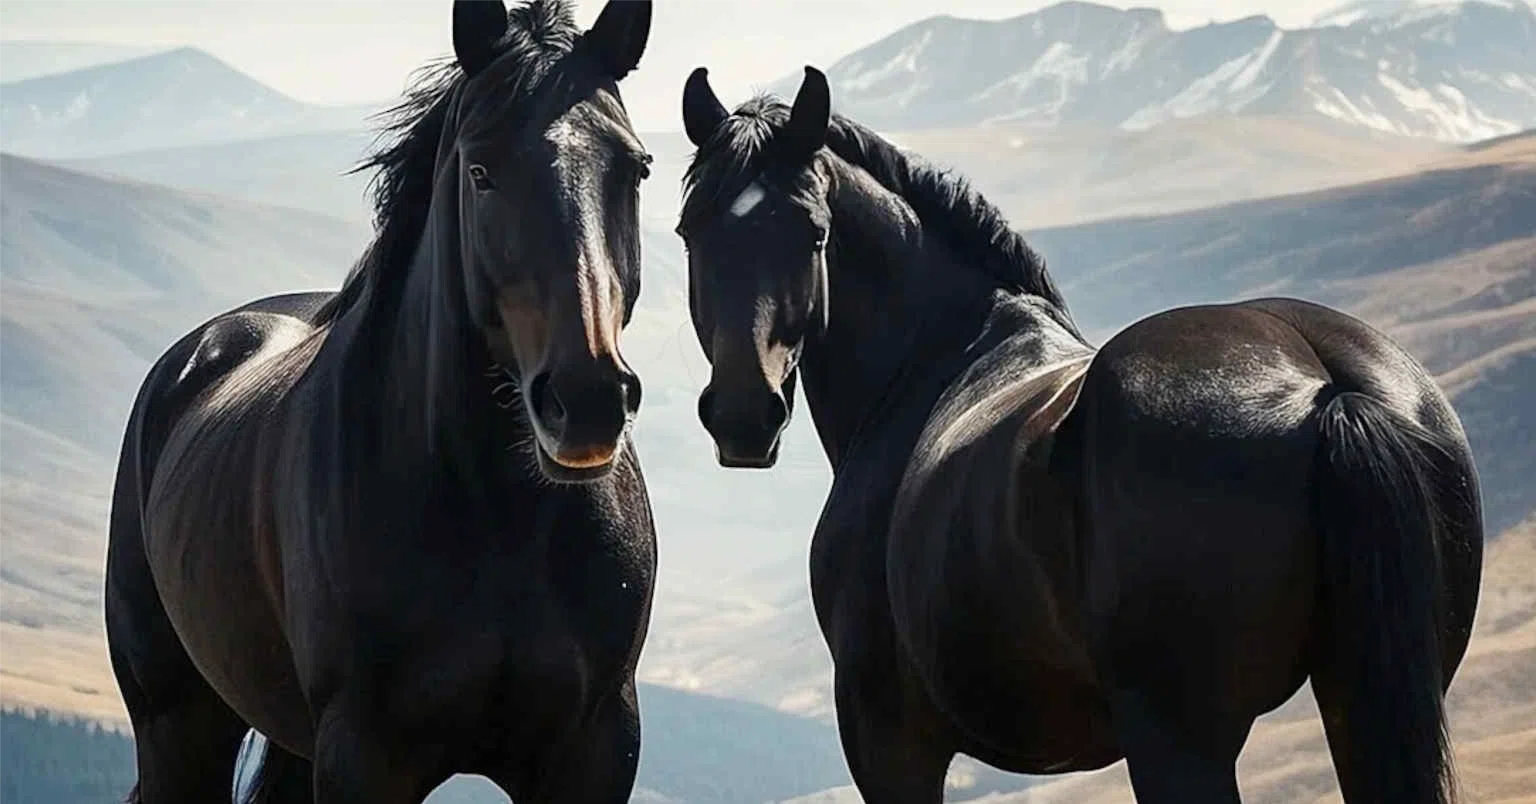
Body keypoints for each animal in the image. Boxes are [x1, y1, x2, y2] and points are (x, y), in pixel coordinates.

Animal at [103, 0, 659, 800]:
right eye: (481, 170)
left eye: (634, 168)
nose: (585, 403)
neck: (496, 515)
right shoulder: (365, 755)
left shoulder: (593, 750)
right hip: (177, 724)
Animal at [673, 65, 1485, 804]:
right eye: (689, 231)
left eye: (812, 232)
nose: (744, 414)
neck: (936, 356)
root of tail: (1323, 384)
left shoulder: (888, 742)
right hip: (1362, 698)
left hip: (1178, 740)